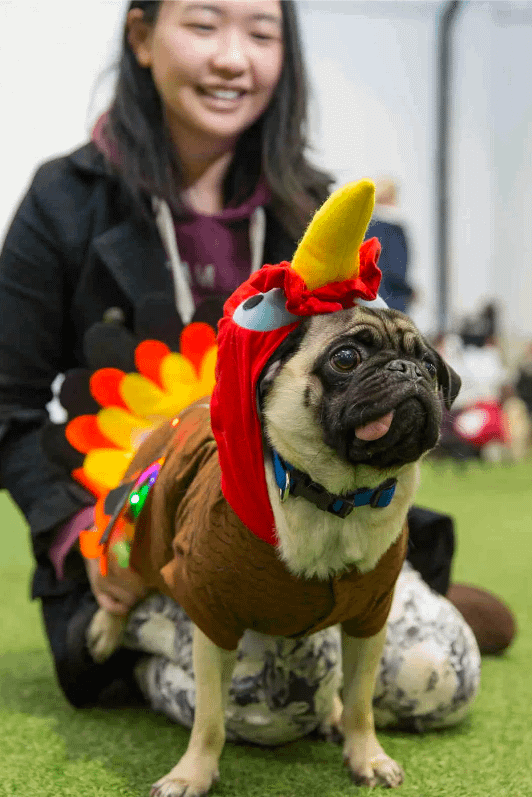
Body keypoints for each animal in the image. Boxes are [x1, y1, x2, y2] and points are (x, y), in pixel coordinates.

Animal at [86, 300, 458, 796]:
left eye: (431, 367)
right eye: (346, 358)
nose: (408, 369)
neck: (335, 500)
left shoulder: (368, 619)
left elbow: (360, 704)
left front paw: (367, 757)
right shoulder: (214, 618)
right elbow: (209, 720)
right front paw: (192, 774)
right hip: (142, 533)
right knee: (121, 587)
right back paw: (104, 633)